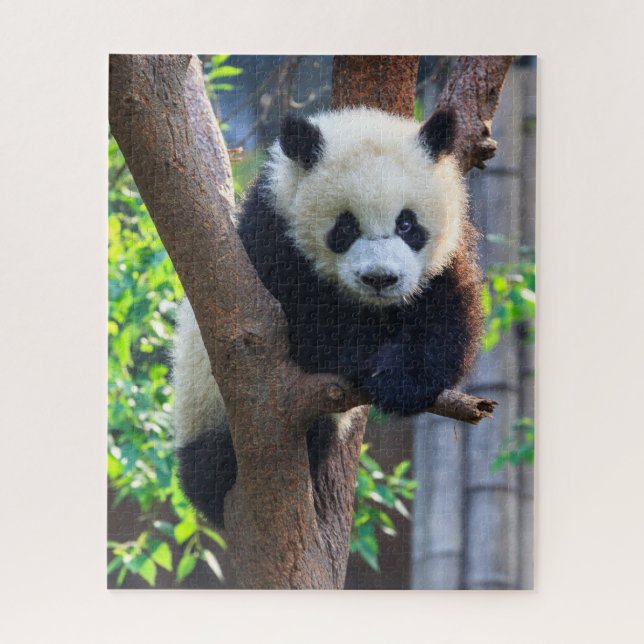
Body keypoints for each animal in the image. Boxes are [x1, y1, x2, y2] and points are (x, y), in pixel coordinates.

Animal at [172, 107, 483, 528]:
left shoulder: (443, 259)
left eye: (407, 223)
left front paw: (403, 381)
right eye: (345, 226)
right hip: (204, 406)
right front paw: (365, 359)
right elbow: (301, 330)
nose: (380, 278)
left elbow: (447, 317)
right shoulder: (270, 245)